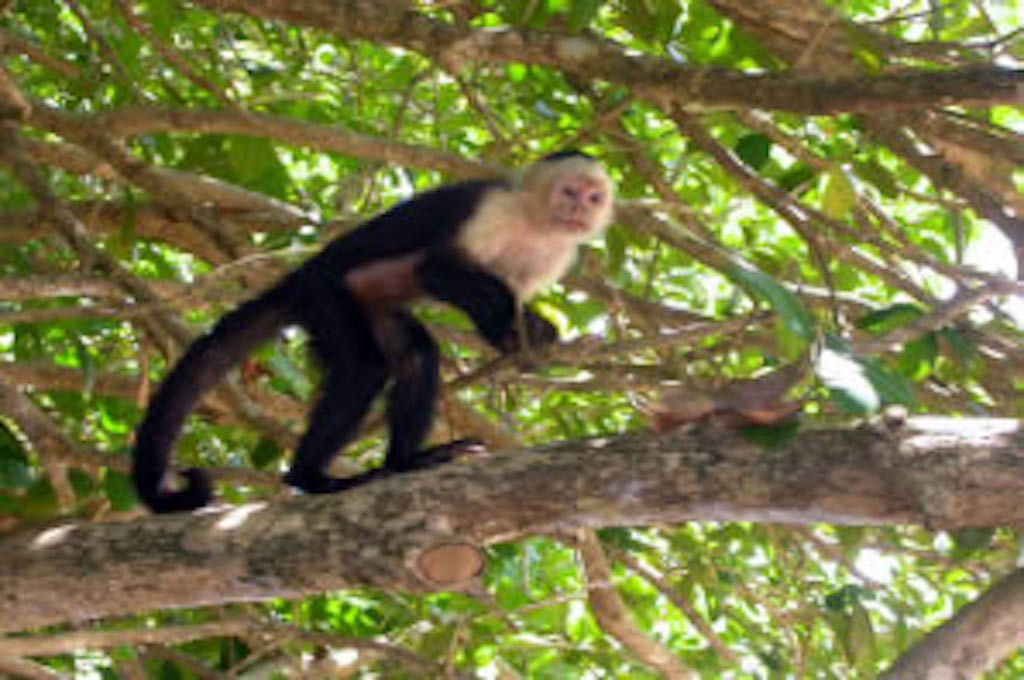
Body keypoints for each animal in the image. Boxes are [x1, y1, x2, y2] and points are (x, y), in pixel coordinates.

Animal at [131, 150, 610, 510]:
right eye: (569, 191)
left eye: (593, 197)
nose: (579, 208)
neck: (536, 224)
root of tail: (301, 276)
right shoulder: (494, 212)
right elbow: (437, 269)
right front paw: (504, 323)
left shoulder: (557, 256)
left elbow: (509, 299)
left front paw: (525, 338)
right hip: (327, 297)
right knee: (363, 369)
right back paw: (311, 477)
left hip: (370, 306)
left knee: (415, 355)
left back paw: (407, 462)